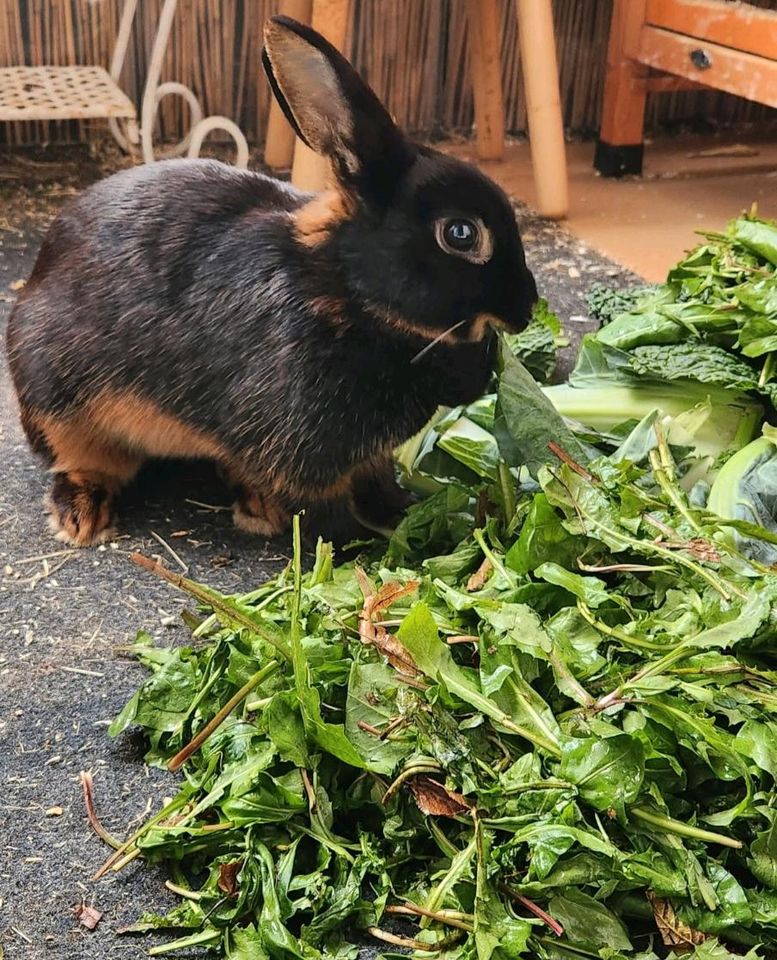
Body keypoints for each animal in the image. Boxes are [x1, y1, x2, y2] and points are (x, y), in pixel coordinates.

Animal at [6, 15, 536, 544]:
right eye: (461, 233)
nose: (527, 307)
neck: (344, 292)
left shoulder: (364, 456)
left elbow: (379, 481)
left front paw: (401, 514)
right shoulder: (302, 454)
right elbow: (324, 511)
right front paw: (359, 544)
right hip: (58, 405)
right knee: (83, 460)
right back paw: (82, 513)